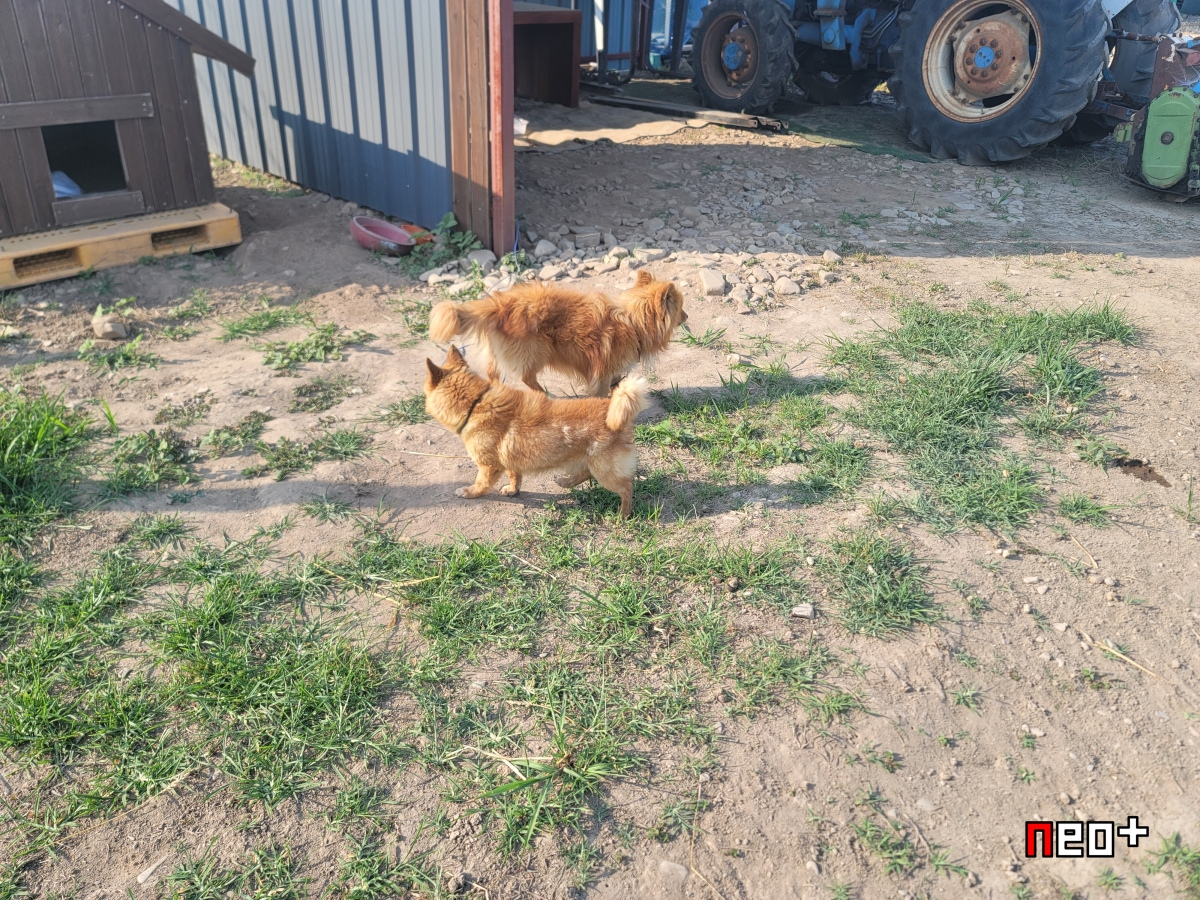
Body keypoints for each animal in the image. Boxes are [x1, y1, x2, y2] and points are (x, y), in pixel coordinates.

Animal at [424, 346, 648, 517]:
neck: (475, 403)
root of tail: (614, 410)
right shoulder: (510, 461)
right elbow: (515, 477)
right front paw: (513, 490)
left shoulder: (489, 466)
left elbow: (481, 484)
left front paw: (468, 492)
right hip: (589, 462)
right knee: (586, 473)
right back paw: (566, 482)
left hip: (605, 471)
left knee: (626, 488)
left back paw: (623, 514)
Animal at [428, 268, 687, 396]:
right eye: (681, 309)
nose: (686, 317)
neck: (632, 322)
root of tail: (499, 304)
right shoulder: (601, 371)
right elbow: (601, 390)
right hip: (537, 352)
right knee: (526, 377)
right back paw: (544, 394)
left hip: (499, 352)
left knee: (493, 374)